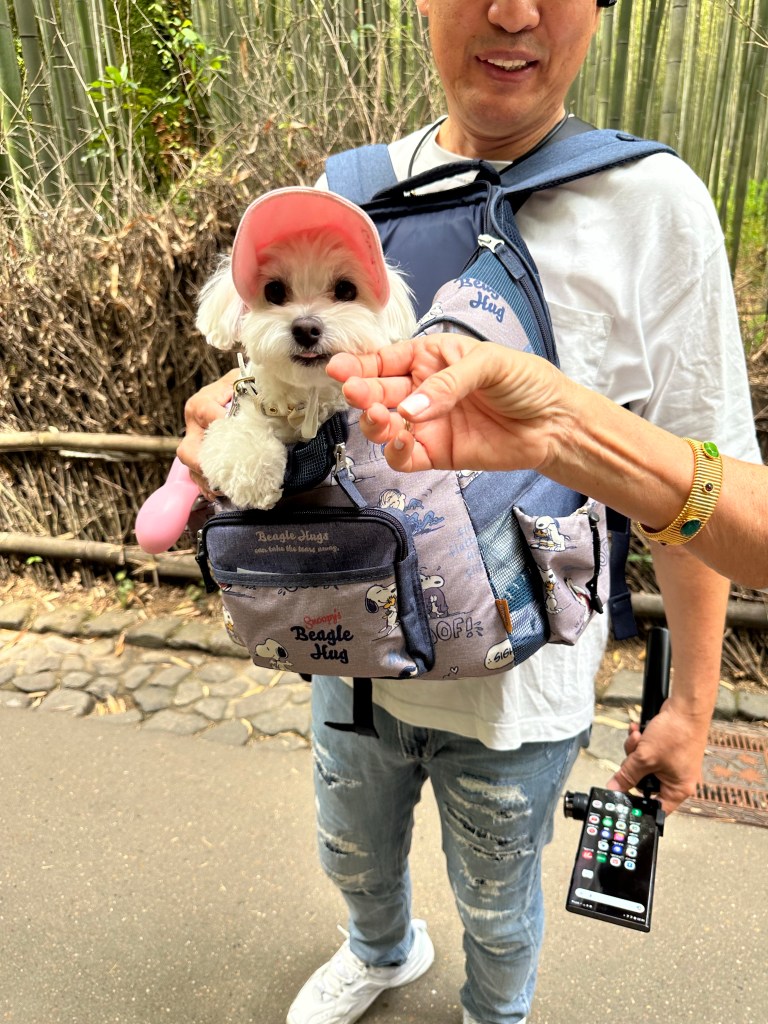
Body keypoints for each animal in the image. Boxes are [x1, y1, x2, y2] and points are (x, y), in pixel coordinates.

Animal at [195, 187, 416, 509]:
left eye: (346, 289)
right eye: (274, 290)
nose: (306, 328)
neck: (298, 405)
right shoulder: (240, 413)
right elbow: (234, 439)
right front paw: (258, 483)